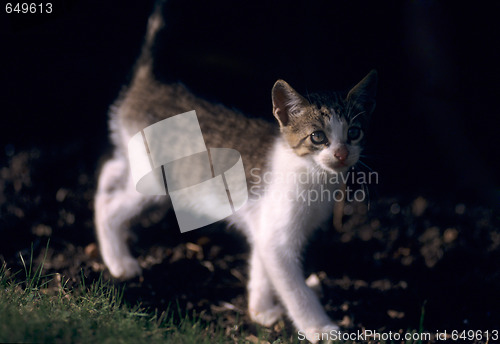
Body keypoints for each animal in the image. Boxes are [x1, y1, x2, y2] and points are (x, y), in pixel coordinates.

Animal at [94, 4, 376, 342]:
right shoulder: (278, 236)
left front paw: (260, 310)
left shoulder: (266, 226)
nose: (342, 154)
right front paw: (319, 328)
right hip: (156, 183)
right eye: (318, 137)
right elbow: (296, 291)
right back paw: (118, 260)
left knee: (111, 168)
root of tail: (150, 84)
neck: (312, 174)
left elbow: (262, 264)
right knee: (111, 206)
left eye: (355, 133)